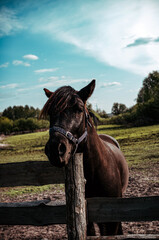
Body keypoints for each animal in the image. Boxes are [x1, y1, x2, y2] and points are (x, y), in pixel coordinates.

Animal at [40, 79, 129, 235]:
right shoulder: (87, 217)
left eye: (79, 109)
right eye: (50, 112)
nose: (55, 149)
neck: (96, 171)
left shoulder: (113, 215)